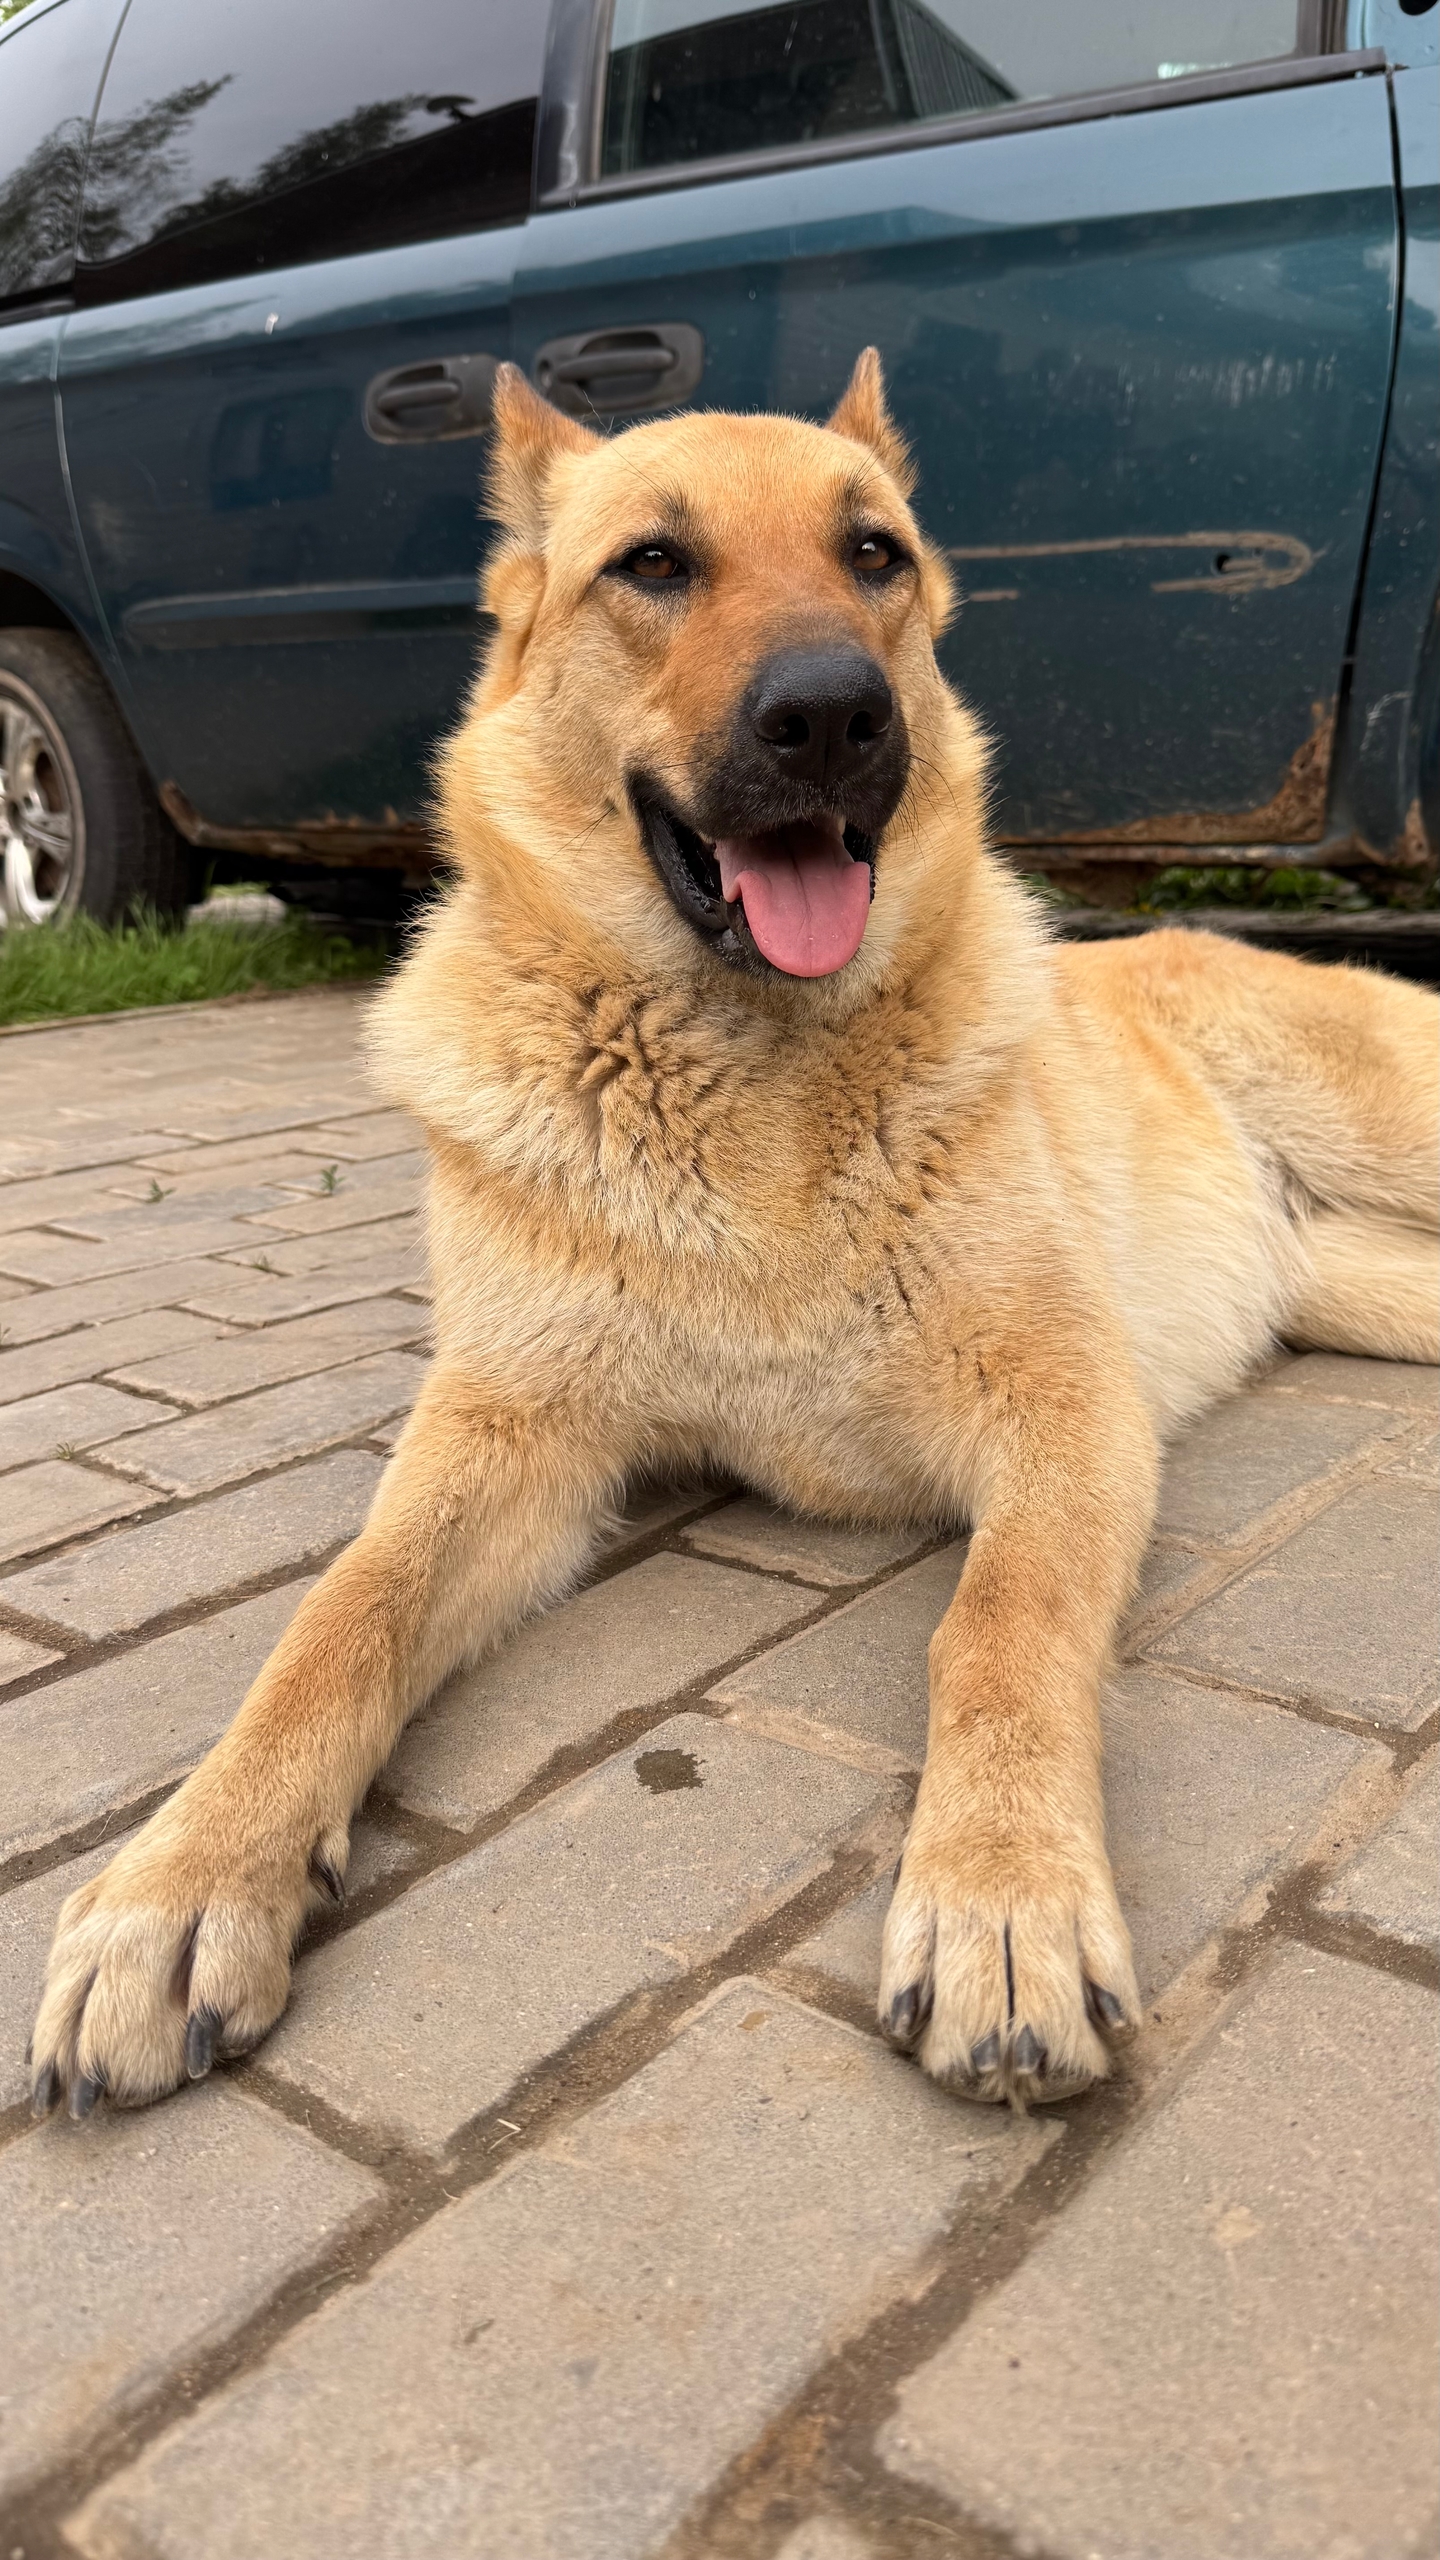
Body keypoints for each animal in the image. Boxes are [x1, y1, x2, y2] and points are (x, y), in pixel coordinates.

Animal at [31, 351, 1439, 2121]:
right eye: (653, 565)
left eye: (874, 556)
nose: (834, 715)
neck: (750, 1079)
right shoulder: (504, 1439)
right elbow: (336, 1616)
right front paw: (188, 1871)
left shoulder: (1066, 1417)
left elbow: (996, 1632)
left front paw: (1000, 1889)